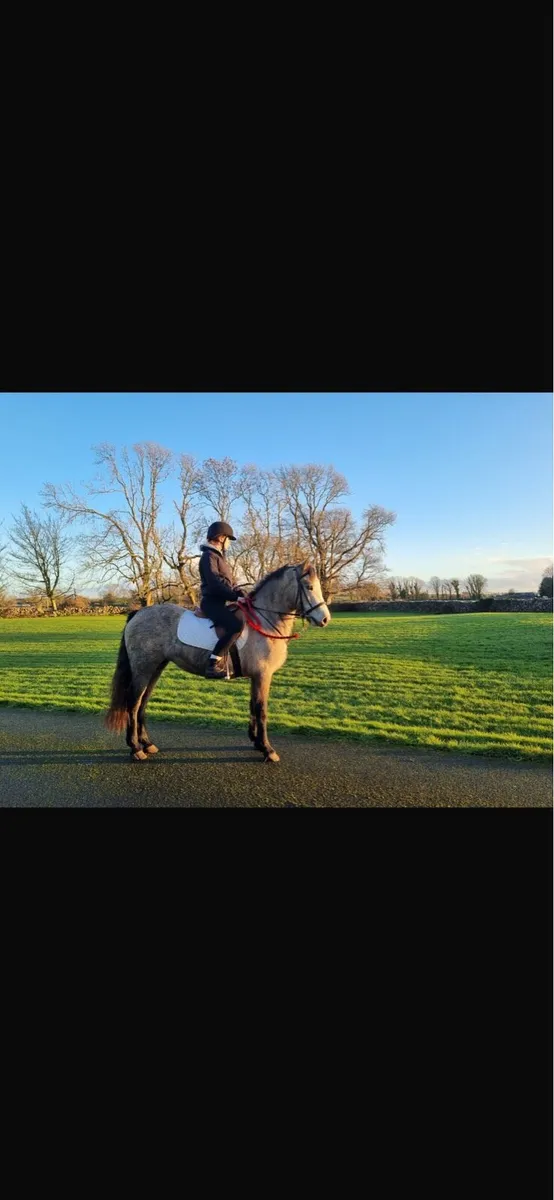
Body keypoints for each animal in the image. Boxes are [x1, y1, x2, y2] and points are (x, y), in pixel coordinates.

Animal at [105, 561, 331, 764]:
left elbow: (252, 706)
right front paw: (267, 749)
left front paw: (257, 742)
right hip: (143, 668)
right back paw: (135, 748)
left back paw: (147, 743)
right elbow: (262, 710)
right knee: (133, 703)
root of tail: (139, 613)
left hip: (156, 668)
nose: (325, 619)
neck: (263, 620)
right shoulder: (263, 675)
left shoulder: (256, 677)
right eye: (309, 587)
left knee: (143, 703)